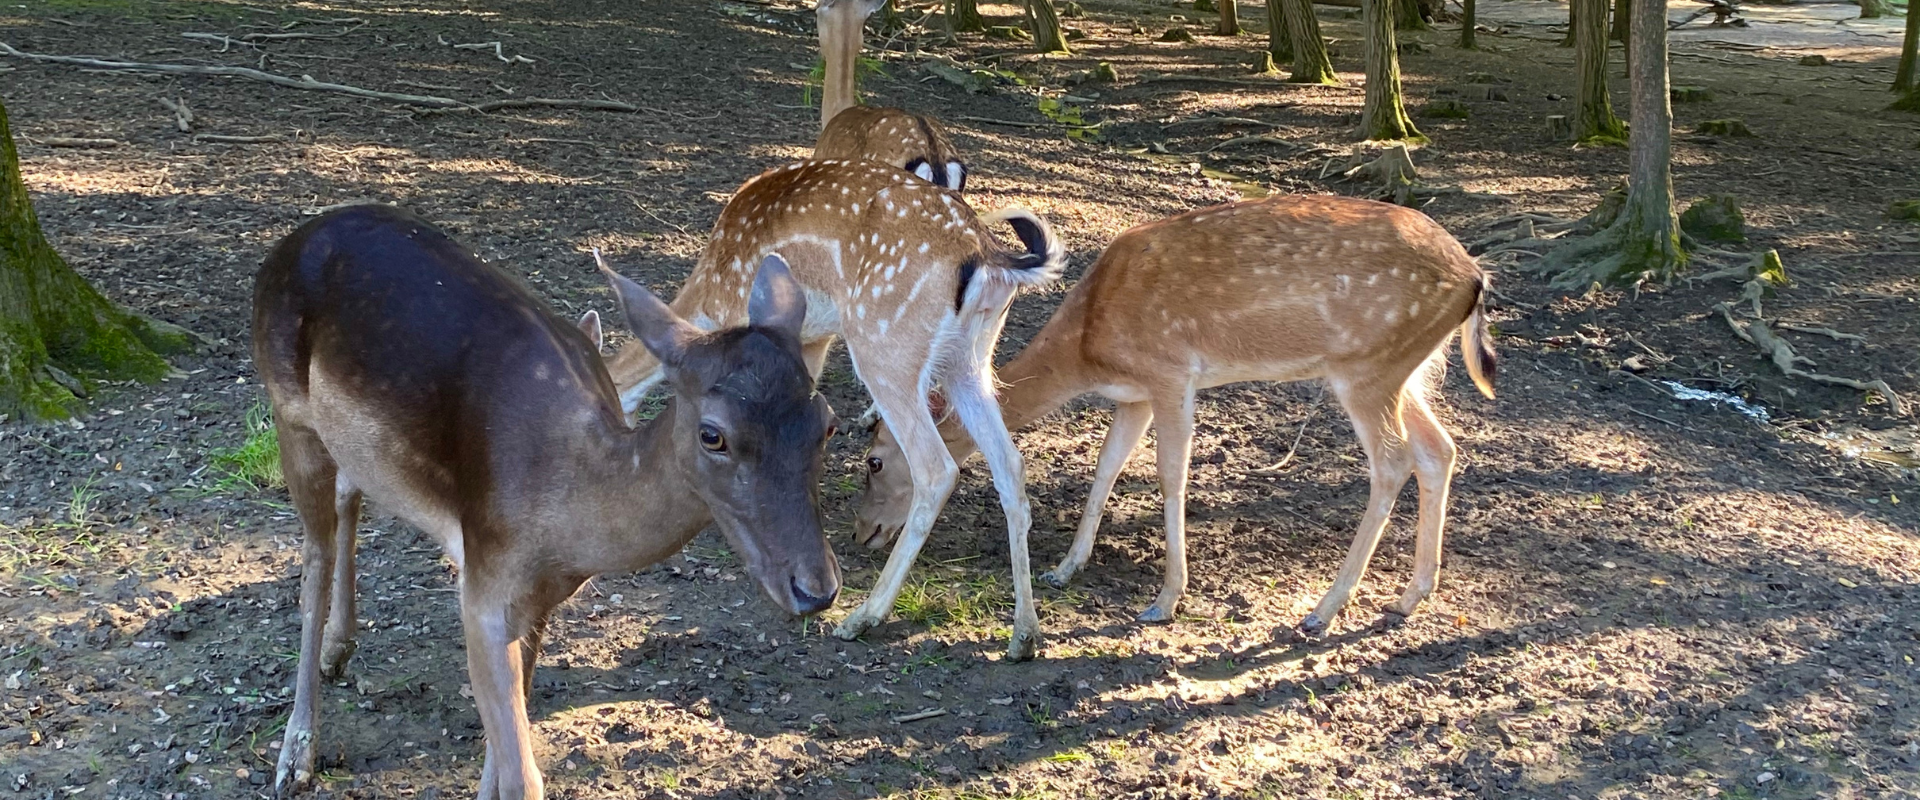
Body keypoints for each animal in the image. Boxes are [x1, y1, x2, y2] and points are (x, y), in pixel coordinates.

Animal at [251, 202, 837, 794]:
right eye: (712, 434)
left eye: (826, 424)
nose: (817, 589)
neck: (568, 525)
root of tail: (292, 241)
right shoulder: (483, 584)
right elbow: (522, 777)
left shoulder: (540, 597)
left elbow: (503, 757)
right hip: (288, 412)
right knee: (313, 559)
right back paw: (295, 756)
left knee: (349, 490)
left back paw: (338, 651)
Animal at [599, 159, 1067, 656]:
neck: (706, 294)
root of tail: (989, 257)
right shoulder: (809, 337)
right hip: (970, 359)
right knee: (1010, 464)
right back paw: (1024, 634)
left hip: (884, 343)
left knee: (936, 468)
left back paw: (864, 616)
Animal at [856, 191, 1497, 629]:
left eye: (874, 460)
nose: (863, 532)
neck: (1089, 345)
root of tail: (1474, 277)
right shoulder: (1133, 394)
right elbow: (1106, 468)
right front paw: (1065, 567)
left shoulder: (1170, 374)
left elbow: (1169, 476)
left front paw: (1165, 600)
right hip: (1408, 367)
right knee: (1439, 448)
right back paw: (1413, 593)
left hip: (1367, 368)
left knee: (1393, 462)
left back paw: (1324, 608)